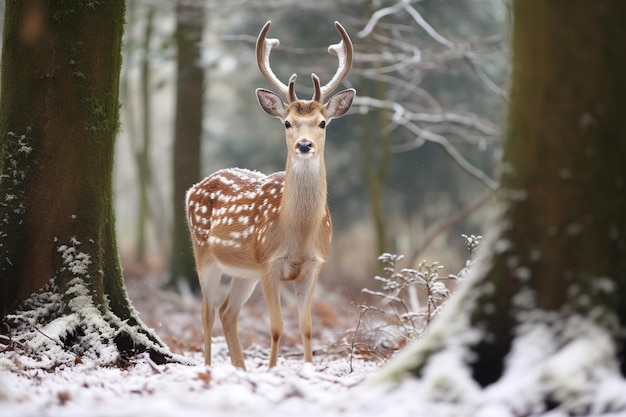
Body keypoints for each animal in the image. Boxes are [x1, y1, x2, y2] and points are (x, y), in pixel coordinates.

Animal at [185, 21, 354, 368]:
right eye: (287, 122)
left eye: (322, 123)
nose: (305, 144)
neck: (298, 233)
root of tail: (194, 187)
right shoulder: (268, 262)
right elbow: (277, 327)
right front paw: (273, 369)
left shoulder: (314, 264)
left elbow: (306, 327)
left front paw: (308, 368)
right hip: (204, 254)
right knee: (207, 311)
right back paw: (208, 367)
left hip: (243, 271)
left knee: (228, 311)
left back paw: (240, 368)